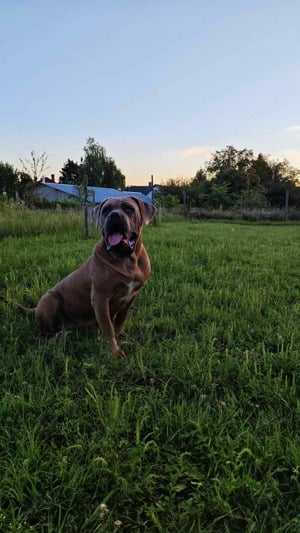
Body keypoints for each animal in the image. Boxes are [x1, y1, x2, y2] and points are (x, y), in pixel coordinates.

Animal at [31, 195, 156, 358]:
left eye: (128, 208)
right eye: (106, 210)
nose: (114, 215)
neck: (125, 258)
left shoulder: (131, 295)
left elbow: (120, 319)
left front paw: (121, 334)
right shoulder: (100, 298)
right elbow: (108, 327)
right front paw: (114, 351)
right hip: (49, 299)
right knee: (45, 332)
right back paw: (50, 342)